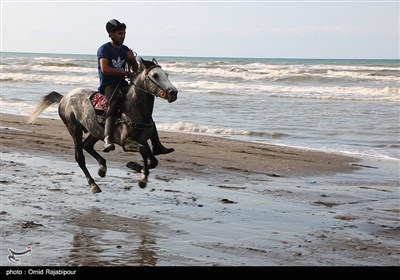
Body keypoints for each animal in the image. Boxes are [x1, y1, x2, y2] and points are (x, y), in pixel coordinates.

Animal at [27, 58, 177, 194]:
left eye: (167, 74)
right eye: (155, 75)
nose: (173, 93)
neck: (133, 109)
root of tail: (64, 98)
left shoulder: (142, 140)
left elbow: (153, 159)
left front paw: (135, 166)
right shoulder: (126, 143)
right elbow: (144, 151)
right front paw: (142, 178)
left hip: (95, 130)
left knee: (87, 145)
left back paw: (102, 168)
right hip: (74, 129)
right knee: (80, 157)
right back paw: (93, 185)